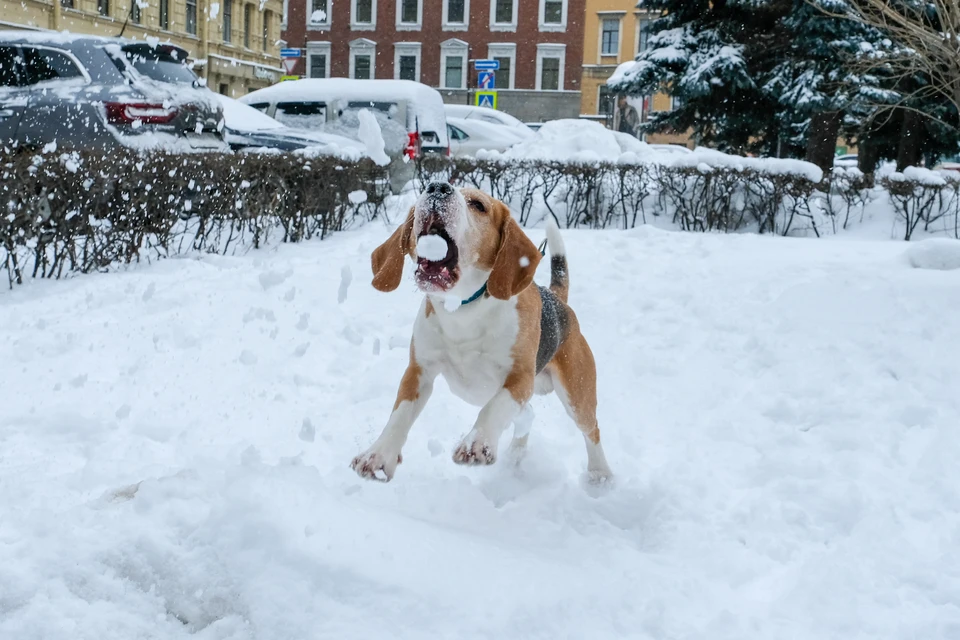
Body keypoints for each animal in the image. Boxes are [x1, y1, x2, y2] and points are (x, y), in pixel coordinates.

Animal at [352, 182, 616, 482]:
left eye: (478, 205)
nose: (438, 187)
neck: (462, 309)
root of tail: (559, 300)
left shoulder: (519, 379)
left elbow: (494, 407)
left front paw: (475, 444)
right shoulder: (418, 371)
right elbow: (400, 413)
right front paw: (378, 455)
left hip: (577, 393)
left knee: (591, 430)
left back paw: (600, 474)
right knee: (528, 415)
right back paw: (515, 454)